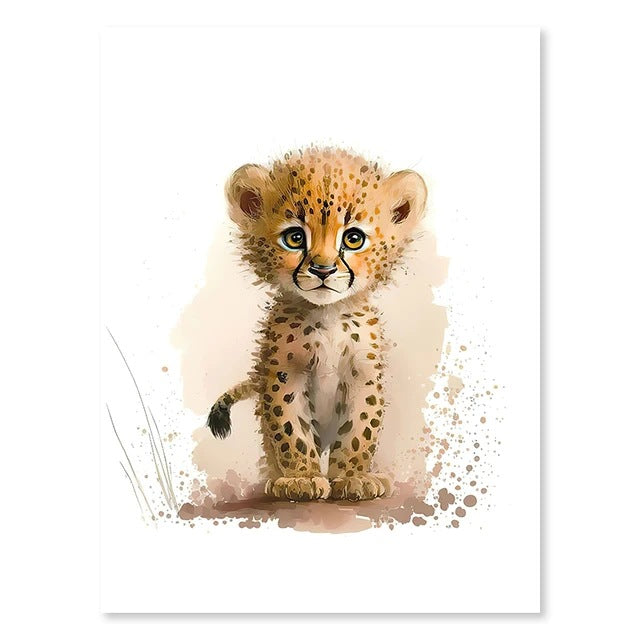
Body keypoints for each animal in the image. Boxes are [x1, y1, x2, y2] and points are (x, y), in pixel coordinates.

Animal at [207, 146, 428, 502]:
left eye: (353, 239)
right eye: (295, 237)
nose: (323, 270)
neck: (328, 316)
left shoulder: (363, 373)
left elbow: (360, 427)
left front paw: (353, 477)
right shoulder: (285, 373)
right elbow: (289, 429)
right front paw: (301, 478)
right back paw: (275, 479)